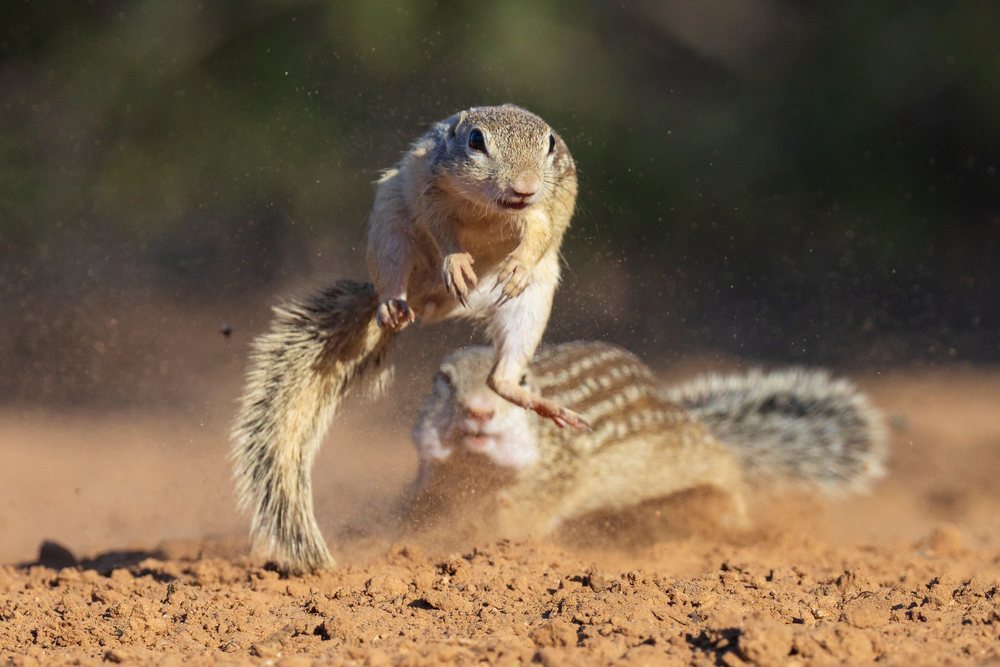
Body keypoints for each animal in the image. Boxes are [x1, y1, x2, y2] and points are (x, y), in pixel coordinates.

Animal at [231, 105, 583, 572]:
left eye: (550, 144)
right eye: (476, 141)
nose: (523, 188)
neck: (491, 208)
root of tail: (430, 299)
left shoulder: (551, 202)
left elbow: (541, 233)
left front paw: (517, 267)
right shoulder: (432, 188)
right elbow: (441, 226)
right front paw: (456, 260)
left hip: (533, 300)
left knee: (500, 377)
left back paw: (538, 400)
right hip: (390, 228)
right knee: (393, 276)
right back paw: (392, 306)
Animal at [409, 341, 887, 539]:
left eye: (521, 382)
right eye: (443, 380)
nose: (479, 411)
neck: (478, 469)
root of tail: (672, 404)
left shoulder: (555, 471)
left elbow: (525, 509)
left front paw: (498, 540)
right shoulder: (437, 475)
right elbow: (424, 500)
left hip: (674, 459)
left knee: (725, 460)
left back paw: (735, 516)